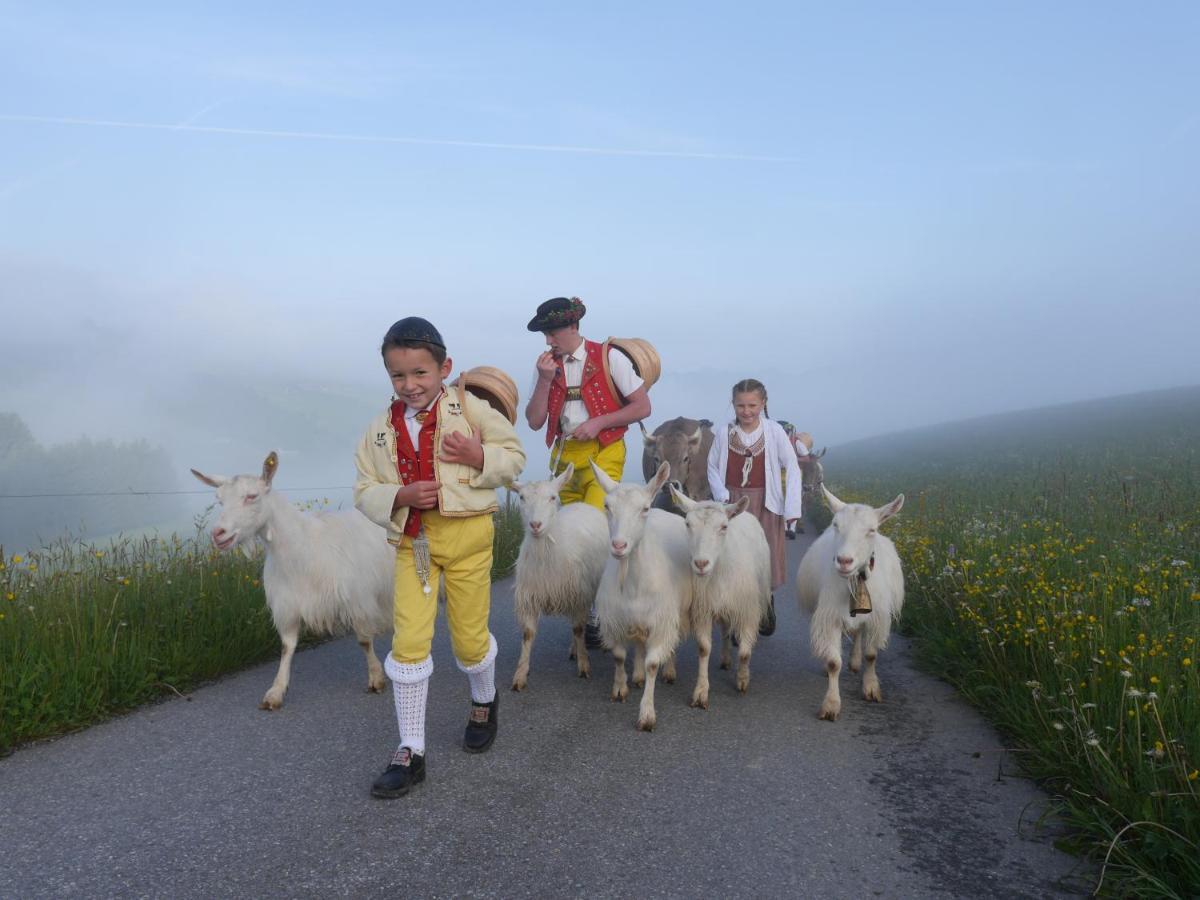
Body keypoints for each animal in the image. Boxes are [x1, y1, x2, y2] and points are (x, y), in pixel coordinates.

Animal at [189, 453, 391, 710]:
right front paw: (276, 691)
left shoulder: (359, 600)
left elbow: (364, 641)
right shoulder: (288, 605)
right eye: (219, 500)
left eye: (252, 496)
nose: (218, 534)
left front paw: (376, 678)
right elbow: (287, 647)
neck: (304, 548)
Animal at [511, 465, 614, 691]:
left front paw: (584, 666)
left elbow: (578, 628)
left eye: (552, 497)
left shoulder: (579, 594)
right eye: (522, 497)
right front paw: (520, 674)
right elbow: (528, 634)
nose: (535, 524)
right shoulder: (529, 596)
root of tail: (582, 505)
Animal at [590, 460, 696, 729]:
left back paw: (669, 671)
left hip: (676, 612)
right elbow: (619, 655)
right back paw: (636, 675)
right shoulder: (615, 620)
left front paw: (647, 714)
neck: (633, 583)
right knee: (638, 642)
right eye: (607, 506)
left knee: (673, 640)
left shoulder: (661, 621)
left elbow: (653, 664)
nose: (619, 546)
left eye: (644, 508)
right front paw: (620, 689)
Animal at [667, 487, 768, 710]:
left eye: (723, 527)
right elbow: (704, 649)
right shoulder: (703, 610)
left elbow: (745, 652)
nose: (701, 563)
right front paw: (701, 692)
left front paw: (742, 680)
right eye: (688, 524)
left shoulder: (748, 611)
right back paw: (725, 658)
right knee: (725, 629)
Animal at [792, 487, 902, 724]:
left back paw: (855, 662)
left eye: (872, 530)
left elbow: (871, 655)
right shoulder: (830, 615)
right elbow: (834, 662)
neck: (855, 580)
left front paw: (871, 688)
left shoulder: (877, 618)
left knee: (859, 632)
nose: (844, 561)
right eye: (836, 525)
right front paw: (831, 705)